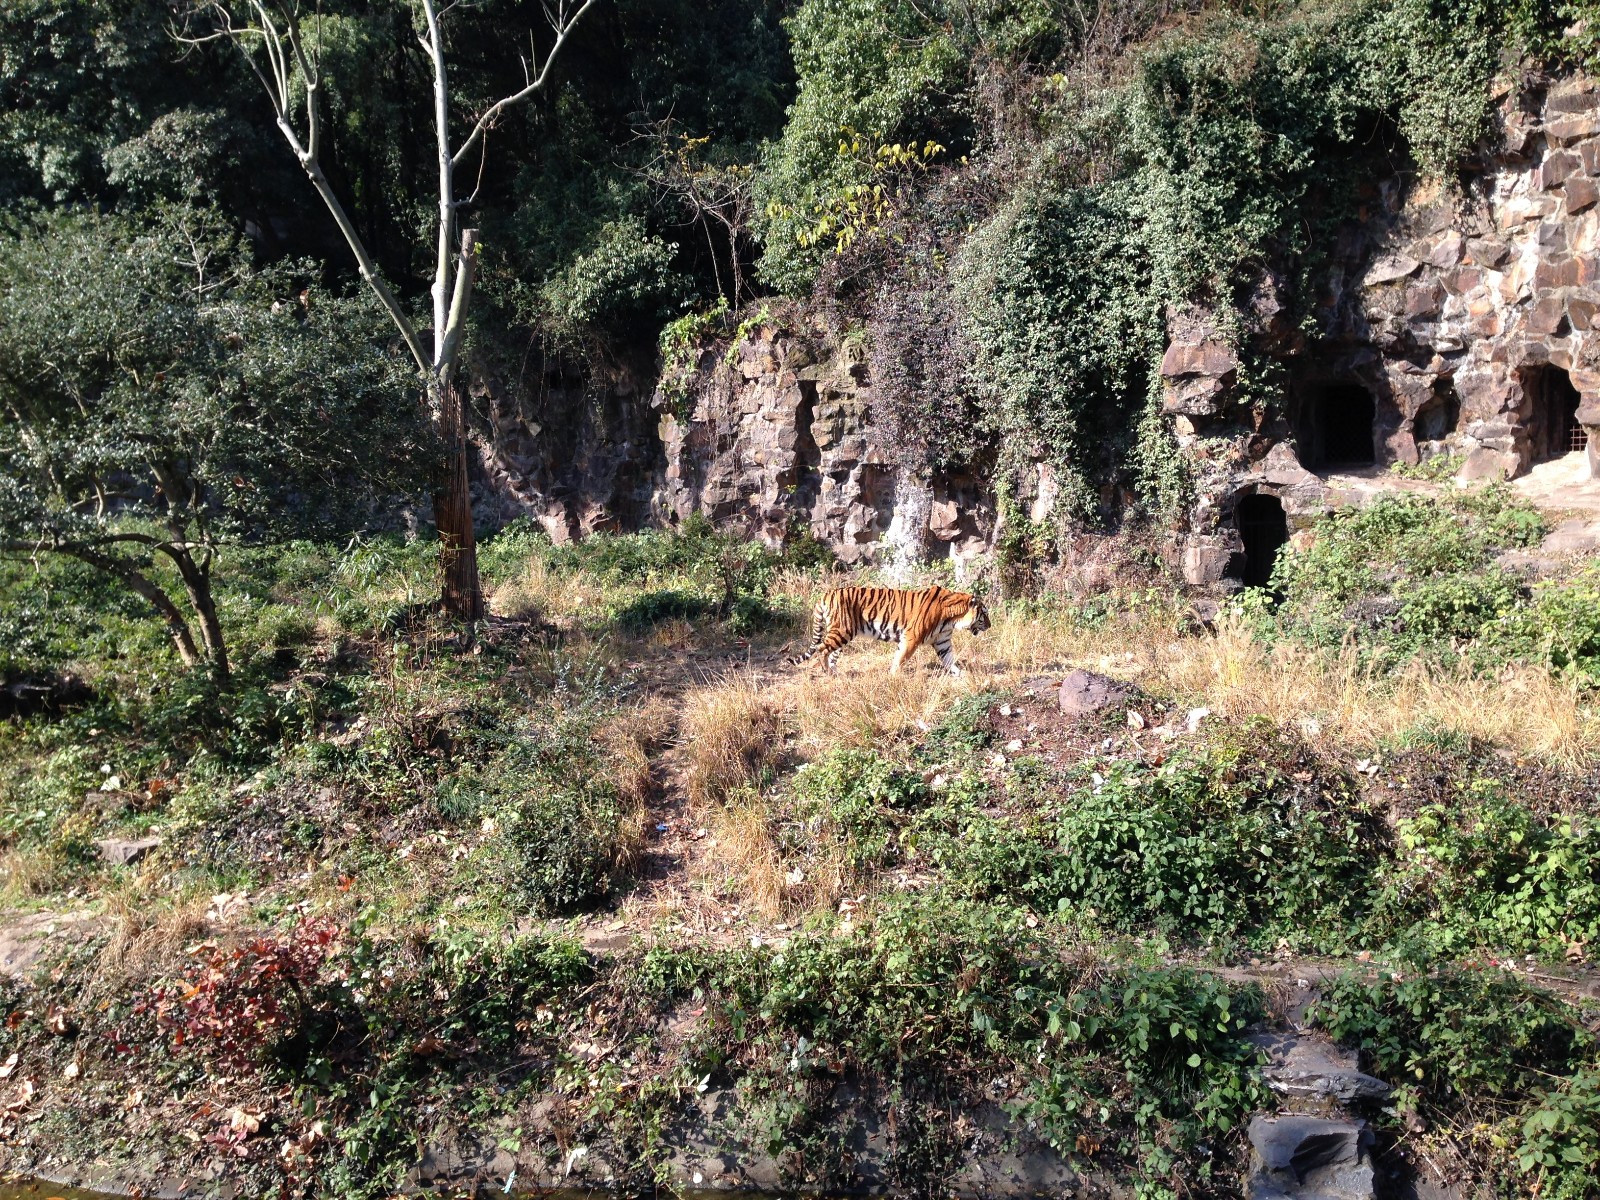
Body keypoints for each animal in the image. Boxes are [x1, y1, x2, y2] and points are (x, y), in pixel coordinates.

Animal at [788, 584, 991, 676]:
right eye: (984, 613)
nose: (990, 625)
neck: (952, 619)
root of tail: (826, 594)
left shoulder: (942, 642)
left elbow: (950, 660)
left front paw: (961, 674)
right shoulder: (912, 637)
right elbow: (901, 658)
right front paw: (894, 675)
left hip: (842, 634)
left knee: (831, 654)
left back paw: (836, 673)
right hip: (841, 631)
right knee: (822, 649)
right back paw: (828, 673)